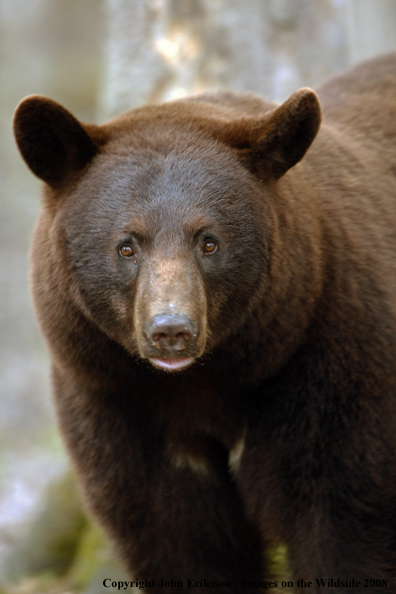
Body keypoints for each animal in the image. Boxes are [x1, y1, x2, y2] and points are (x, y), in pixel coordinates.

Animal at [12, 53, 396, 588]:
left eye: (208, 241)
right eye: (126, 246)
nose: (171, 330)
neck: (208, 382)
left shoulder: (336, 366)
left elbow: (342, 520)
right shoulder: (117, 400)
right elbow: (181, 538)